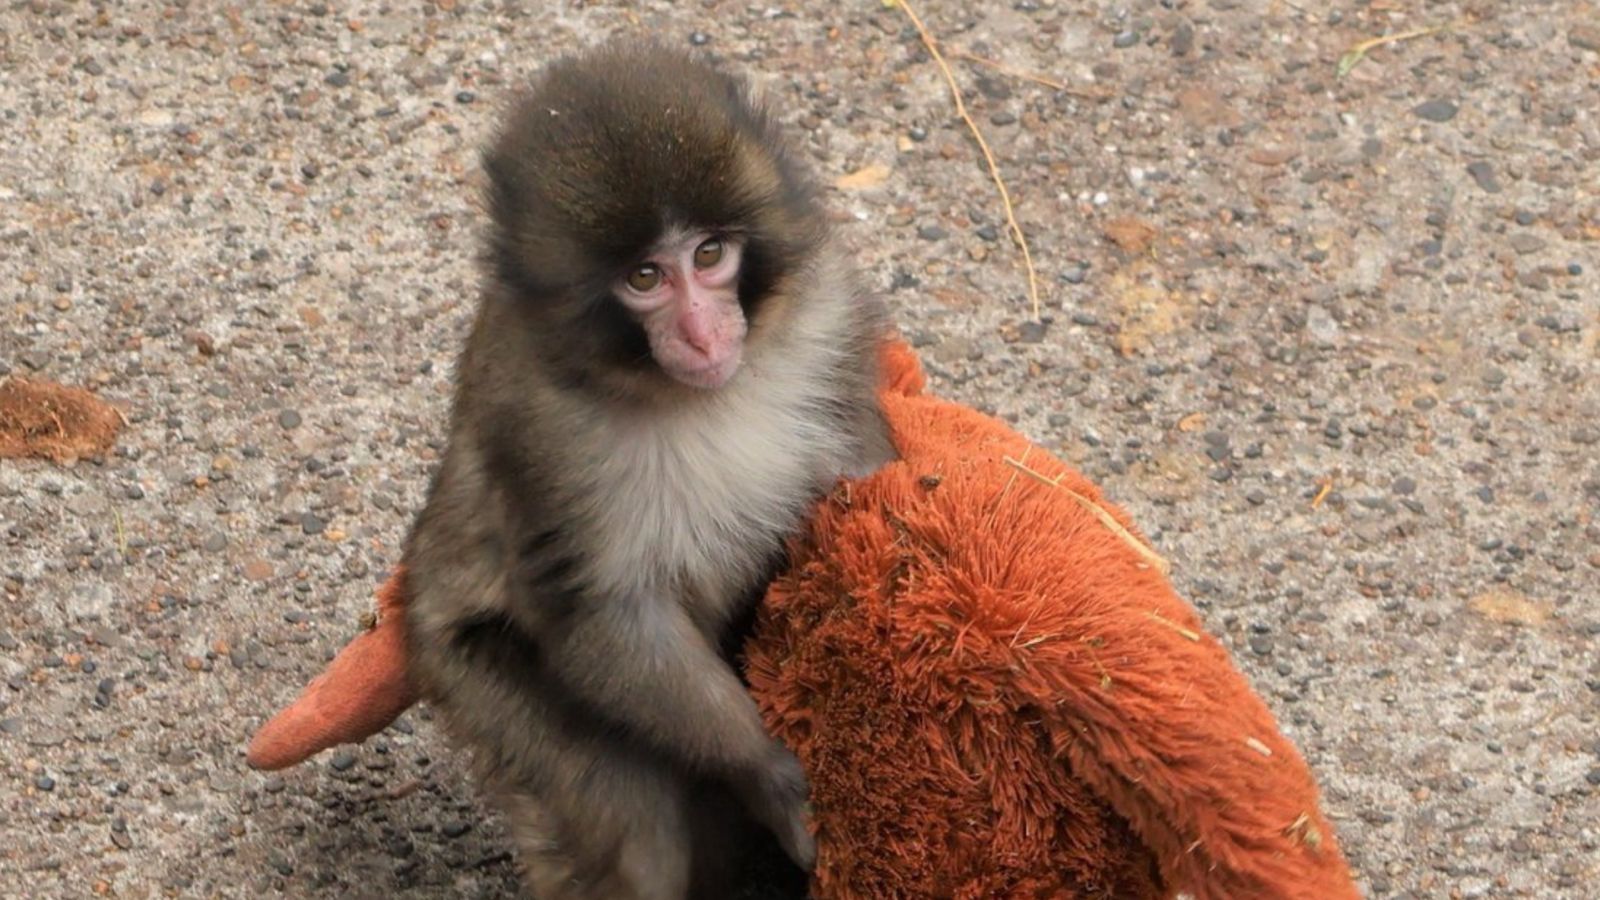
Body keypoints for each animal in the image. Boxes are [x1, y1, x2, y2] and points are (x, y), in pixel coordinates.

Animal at [400, 38, 895, 900]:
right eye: (645, 278)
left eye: (709, 254)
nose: (703, 334)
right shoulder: (542, 430)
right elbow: (605, 612)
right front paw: (769, 771)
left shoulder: (825, 314)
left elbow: (863, 472)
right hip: (474, 674)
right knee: (636, 831)